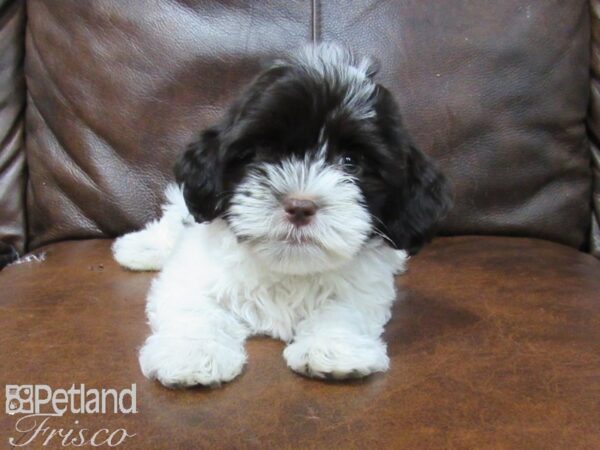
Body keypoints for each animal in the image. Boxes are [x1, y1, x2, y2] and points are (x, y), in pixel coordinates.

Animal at [112, 43, 450, 386]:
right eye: (263, 153)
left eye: (350, 161)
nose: (300, 206)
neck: (287, 267)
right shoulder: (192, 272)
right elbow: (194, 307)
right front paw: (192, 353)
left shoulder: (364, 289)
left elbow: (345, 309)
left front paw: (333, 348)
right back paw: (140, 248)